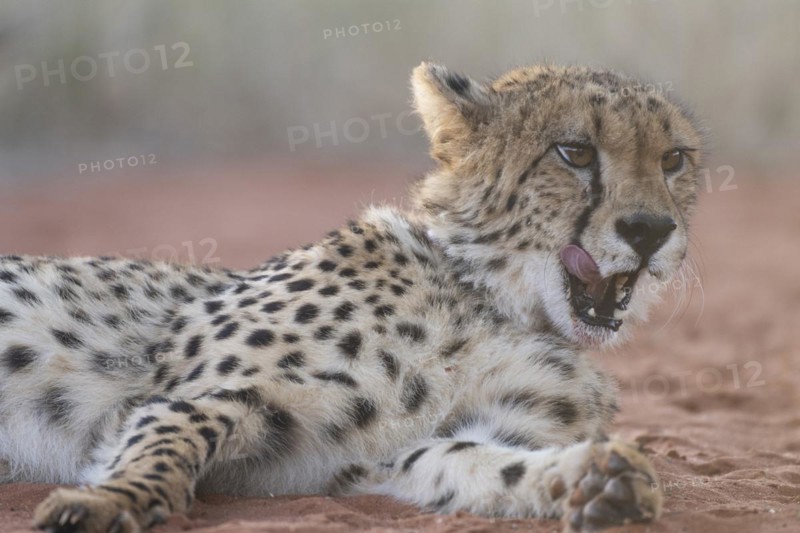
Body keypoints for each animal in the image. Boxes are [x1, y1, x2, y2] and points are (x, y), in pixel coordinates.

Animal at [0, 61, 703, 532]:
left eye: (673, 160)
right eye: (575, 152)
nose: (650, 230)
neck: (491, 301)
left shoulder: (381, 461)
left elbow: (475, 461)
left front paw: (591, 481)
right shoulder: (199, 394)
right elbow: (169, 444)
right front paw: (109, 503)